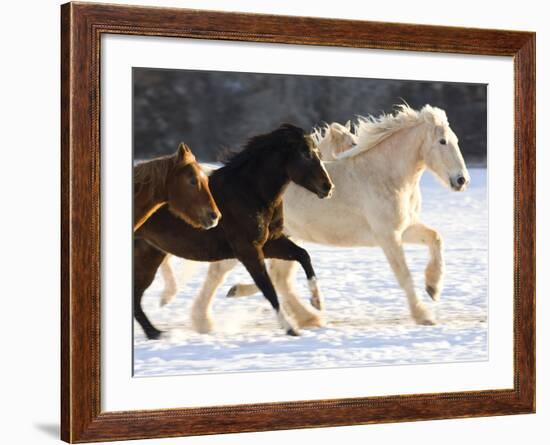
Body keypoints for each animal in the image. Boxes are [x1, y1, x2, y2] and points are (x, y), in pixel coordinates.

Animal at [136, 123, 334, 338]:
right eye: (305, 153)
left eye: (318, 153)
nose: (328, 187)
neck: (249, 192)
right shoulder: (248, 250)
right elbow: (268, 288)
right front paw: (290, 327)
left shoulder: (270, 242)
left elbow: (303, 255)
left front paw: (317, 302)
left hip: (150, 255)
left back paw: (155, 332)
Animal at [162, 105, 472, 332]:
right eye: (443, 141)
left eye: (456, 141)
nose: (461, 181)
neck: (383, 175)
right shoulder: (388, 236)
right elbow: (404, 275)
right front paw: (424, 315)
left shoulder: (403, 229)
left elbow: (435, 238)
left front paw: (433, 288)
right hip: (250, 241)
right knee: (222, 272)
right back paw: (205, 321)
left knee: (279, 279)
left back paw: (307, 316)